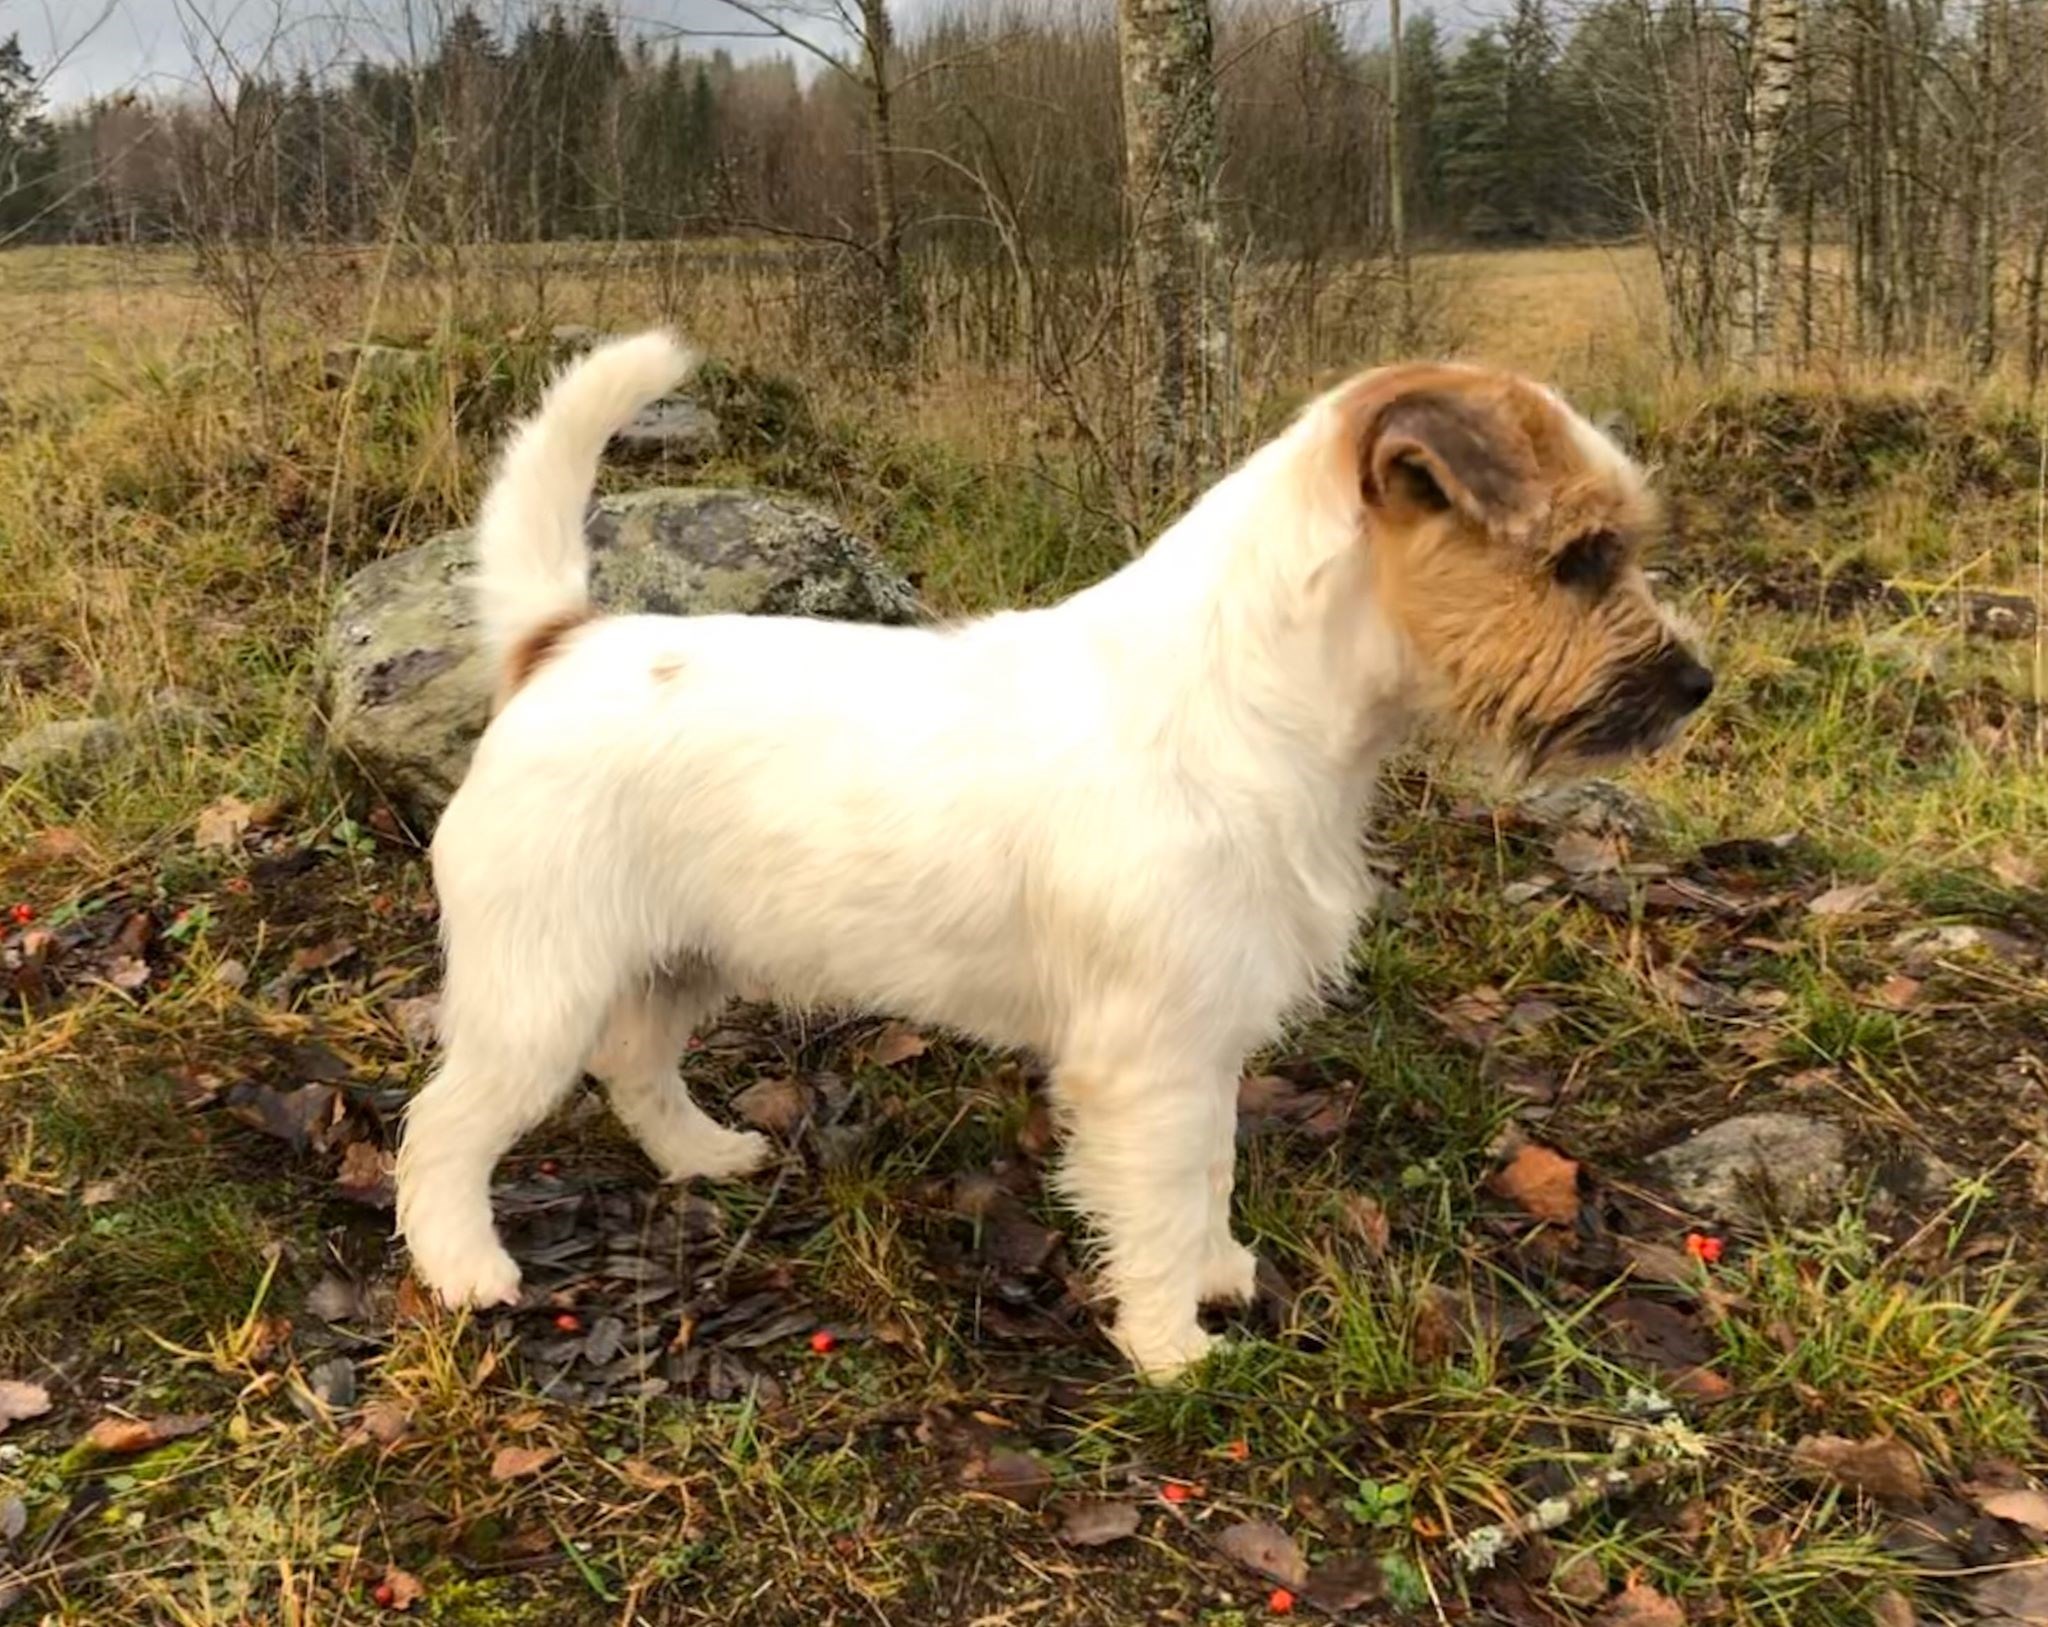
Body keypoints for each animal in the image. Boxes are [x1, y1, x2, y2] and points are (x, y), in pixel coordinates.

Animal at [395, 331, 1712, 1379]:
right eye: (1581, 557)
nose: (1696, 684)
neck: (1249, 699)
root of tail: (561, 643)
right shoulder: (1149, 1060)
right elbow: (1160, 1193)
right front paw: (1174, 1348)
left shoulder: (1202, 1043)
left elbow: (1207, 1171)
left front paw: (1217, 1272)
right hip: (538, 988)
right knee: (444, 1126)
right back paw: (465, 1267)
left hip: (681, 958)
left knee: (634, 1065)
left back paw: (702, 1153)